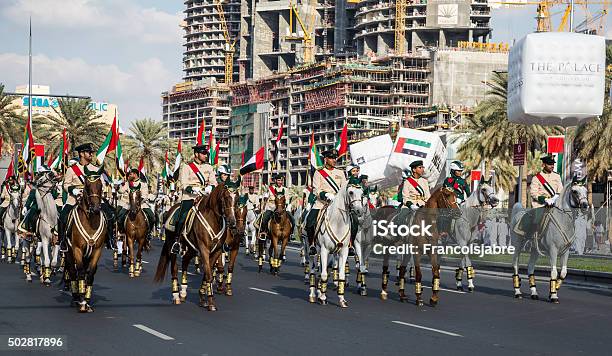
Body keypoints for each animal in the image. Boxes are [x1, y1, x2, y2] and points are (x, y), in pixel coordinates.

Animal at [64, 173, 109, 314]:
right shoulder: (77, 249)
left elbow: (90, 274)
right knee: (73, 272)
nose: (95, 209)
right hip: (68, 253)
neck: (90, 222)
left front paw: (87, 301)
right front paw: (82, 301)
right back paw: (75, 298)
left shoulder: (97, 250)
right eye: (87, 187)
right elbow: (80, 272)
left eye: (100, 186)